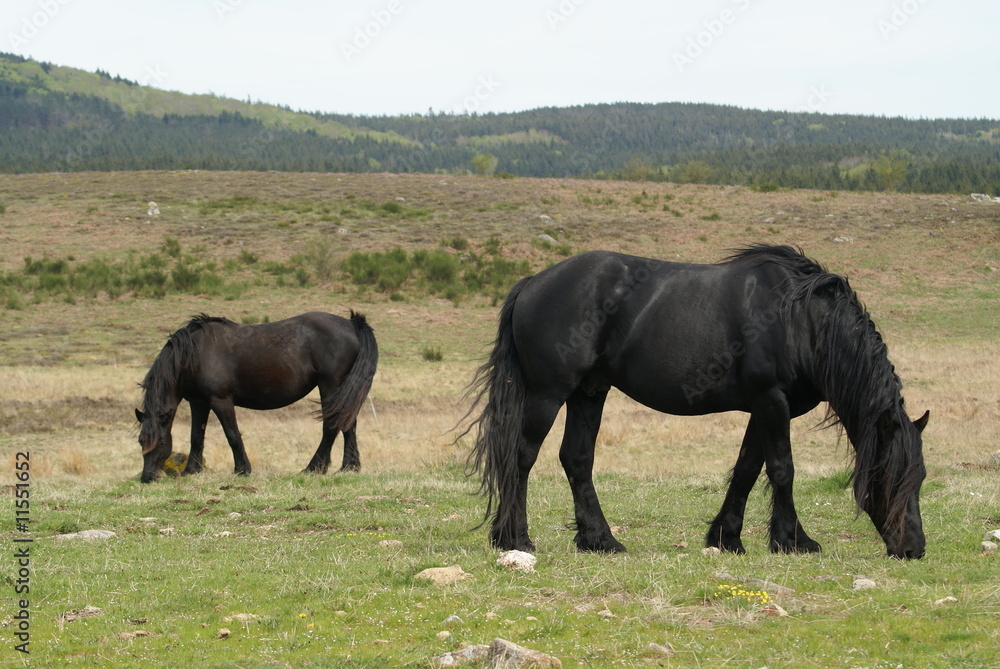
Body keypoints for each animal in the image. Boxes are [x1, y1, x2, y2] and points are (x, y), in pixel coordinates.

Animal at [135, 311, 378, 483]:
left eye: (161, 442)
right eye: (140, 441)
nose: (147, 477)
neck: (194, 354)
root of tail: (351, 324)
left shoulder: (221, 401)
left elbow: (232, 435)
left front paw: (242, 469)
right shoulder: (198, 403)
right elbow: (196, 437)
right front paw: (191, 471)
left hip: (331, 386)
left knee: (331, 426)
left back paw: (314, 467)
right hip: (344, 391)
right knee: (348, 425)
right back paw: (349, 467)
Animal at [464, 245, 929, 559]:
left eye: (921, 477)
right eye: (889, 475)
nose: (914, 548)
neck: (801, 321)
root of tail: (532, 282)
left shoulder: (764, 408)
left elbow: (747, 469)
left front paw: (728, 537)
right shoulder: (771, 401)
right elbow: (782, 469)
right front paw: (792, 540)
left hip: (589, 392)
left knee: (576, 459)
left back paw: (601, 540)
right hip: (549, 394)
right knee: (521, 457)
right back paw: (515, 538)